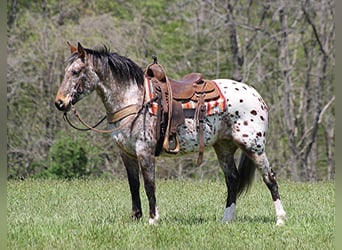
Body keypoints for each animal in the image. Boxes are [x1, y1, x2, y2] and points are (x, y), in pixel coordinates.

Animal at [54, 42, 288, 226]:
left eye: (76, 72)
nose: (59, 103)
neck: (134, 99)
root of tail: (257, 96)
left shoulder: (144, 151)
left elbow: (149, 184)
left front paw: (153, 220)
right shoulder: (127, 154)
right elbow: (133, 185)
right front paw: (135, 218)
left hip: (254, 147)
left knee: (270, 178)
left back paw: (280, 219)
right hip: (223, 147)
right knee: (232, 180)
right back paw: (226, 219)